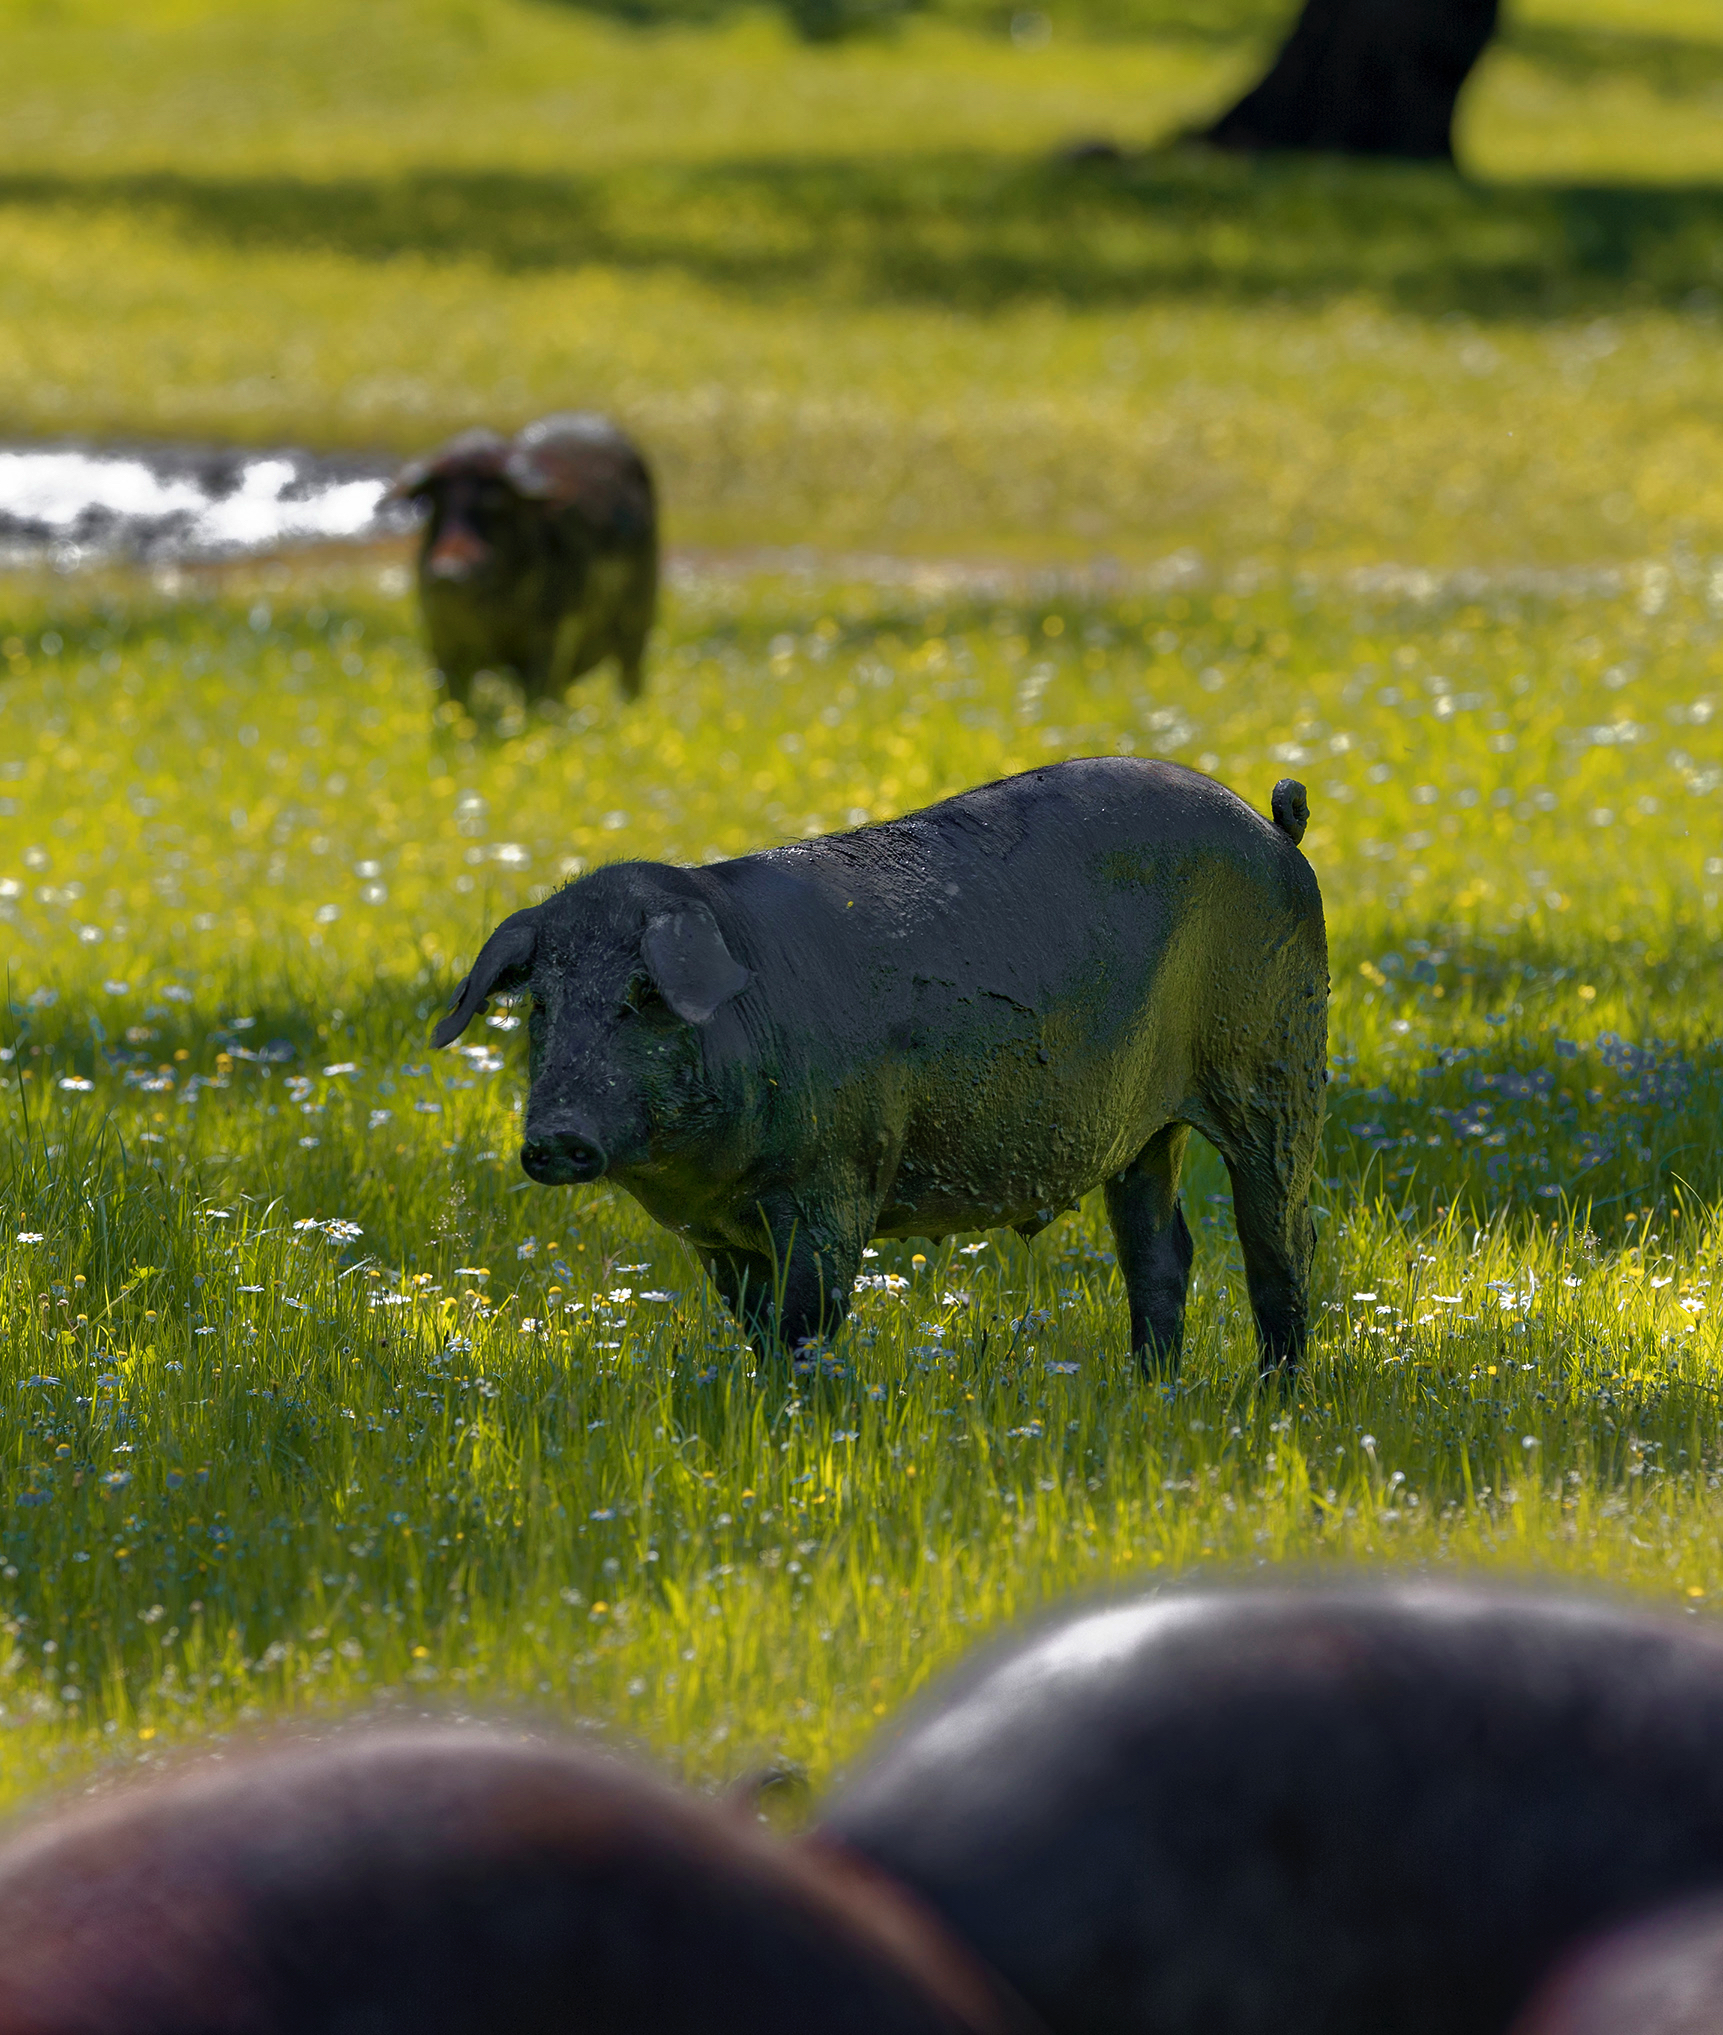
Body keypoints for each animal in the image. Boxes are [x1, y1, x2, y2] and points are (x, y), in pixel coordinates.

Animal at [392, 409, 659, 712]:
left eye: (495, 502)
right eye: (435, 504)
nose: (449, 574)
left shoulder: (547, 638)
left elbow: (538, 692)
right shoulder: (441, 639)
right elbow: (453, 699)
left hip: (639, 620)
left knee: (630, 670)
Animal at [435, 757, 1334, 1375]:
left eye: (644, 994)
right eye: (542, 1006)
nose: (555, 1136)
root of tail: (1274, 829)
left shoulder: (834, 1182)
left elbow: (806, 1325)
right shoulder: (718, 1238)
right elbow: (756, 1330)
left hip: (1278, 1062)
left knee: (1281, 1237)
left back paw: (1272, 1396)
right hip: (1144, 1132)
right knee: (1160, 1251)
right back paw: (1149, 1390)